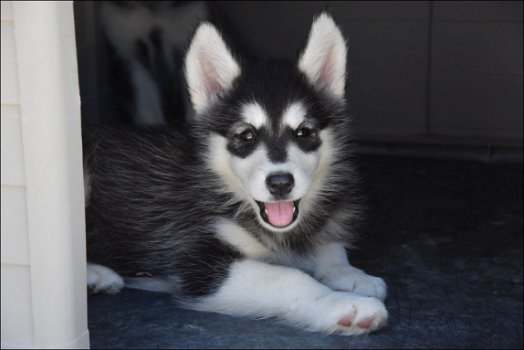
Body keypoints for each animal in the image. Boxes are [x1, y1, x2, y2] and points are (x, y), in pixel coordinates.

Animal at [85, 13, 388, 336]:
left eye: (304, 133)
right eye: (246, 135)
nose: (280, 183)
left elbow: (330, 248)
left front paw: (350, 273)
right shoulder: (199, 260)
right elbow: (287, 278)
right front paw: (343, 305)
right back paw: (95, 274)